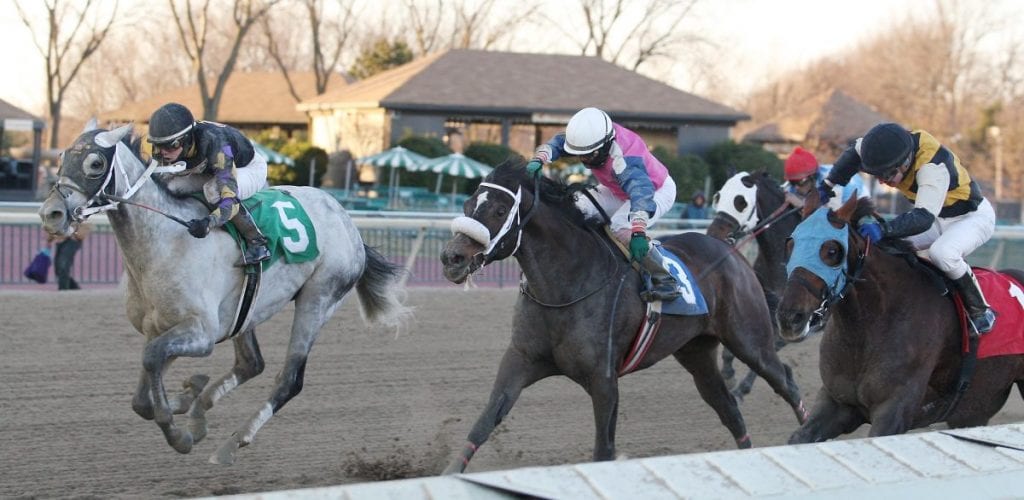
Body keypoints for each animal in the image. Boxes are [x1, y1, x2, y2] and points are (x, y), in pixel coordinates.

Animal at [39, 125, 407, 465]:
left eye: (95, 163)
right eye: (62, 158)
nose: (50, 214)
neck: (166, 241)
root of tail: (347, 220)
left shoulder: (202, 333)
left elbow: (153, 363)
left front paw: (179, 433)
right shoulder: (160, 328)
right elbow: (144, 390)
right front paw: (187, 398)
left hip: (319, 299)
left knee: (289, 379)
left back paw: (232, 442)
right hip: (247, 310)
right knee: (251, 363)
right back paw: (201, 411)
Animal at [774, 193, 1024, 442]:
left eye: (832, 251)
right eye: (790, 245)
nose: (790, 317)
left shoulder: (894, 410)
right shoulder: (837, 403)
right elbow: (798, 439)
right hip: (975, 406)